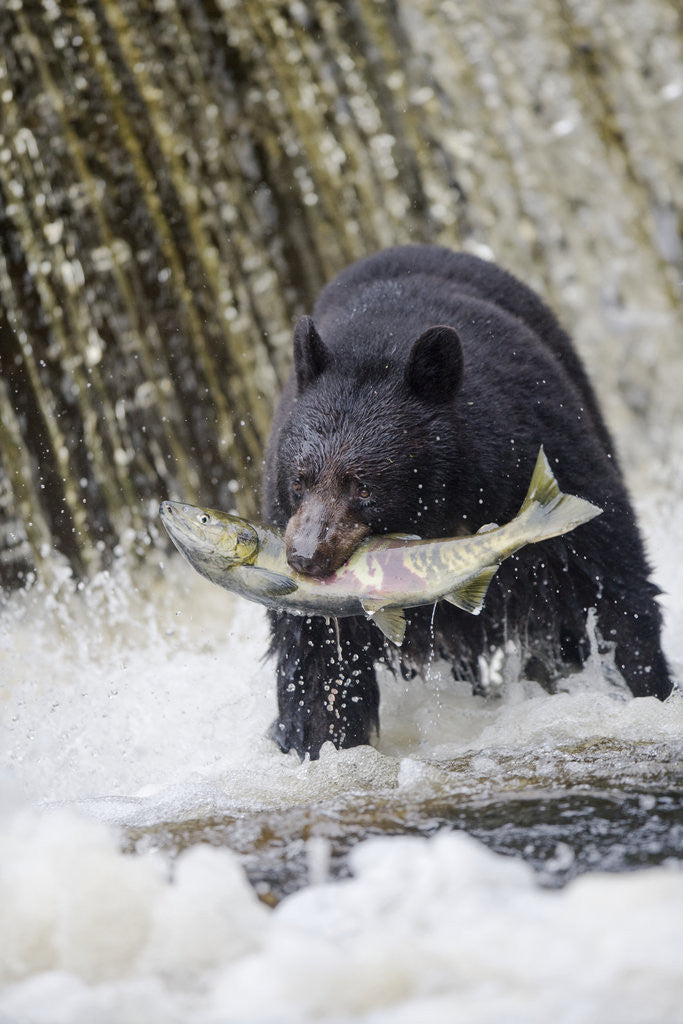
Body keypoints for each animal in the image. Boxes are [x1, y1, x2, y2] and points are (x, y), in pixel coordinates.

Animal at [261, 245, 672, 759]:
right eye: (300, 480)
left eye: (363, 487)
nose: (305, 557)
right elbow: (315, 650)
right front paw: (322, 741)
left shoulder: (537, 444)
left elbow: (607, 572)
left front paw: (647, 687)